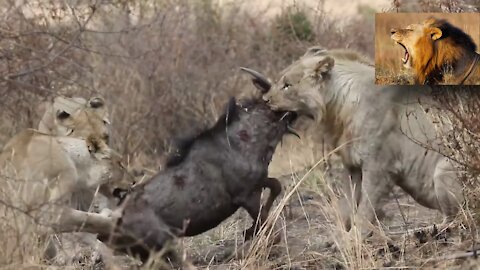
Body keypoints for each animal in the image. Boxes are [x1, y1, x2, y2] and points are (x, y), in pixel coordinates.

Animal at [242, 46, 464, 245]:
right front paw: (338, 237)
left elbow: (365, 209)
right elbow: (348, 207)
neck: (337, 109)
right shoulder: (352, 167)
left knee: (458, 219)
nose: (265, 100)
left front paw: (353, 239)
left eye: (287, 85)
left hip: (443, 171)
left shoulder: (380, 168)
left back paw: (416, 234)